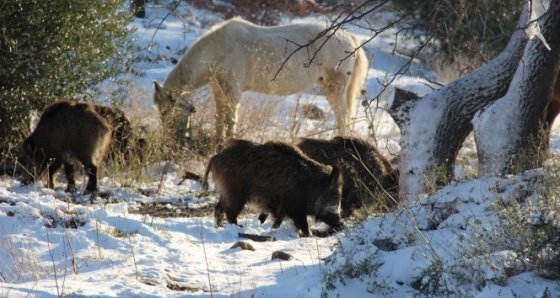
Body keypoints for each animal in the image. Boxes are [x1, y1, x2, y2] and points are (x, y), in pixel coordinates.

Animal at [153, 16, 368, 143]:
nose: (169, 139)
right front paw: (218, 141)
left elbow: (231, 119)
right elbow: (219, 118)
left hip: (333, 87)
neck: (217, 50)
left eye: (165, 112)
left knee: (342, 116)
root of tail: (350, 37)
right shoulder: (218, 89)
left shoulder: (233, 91)